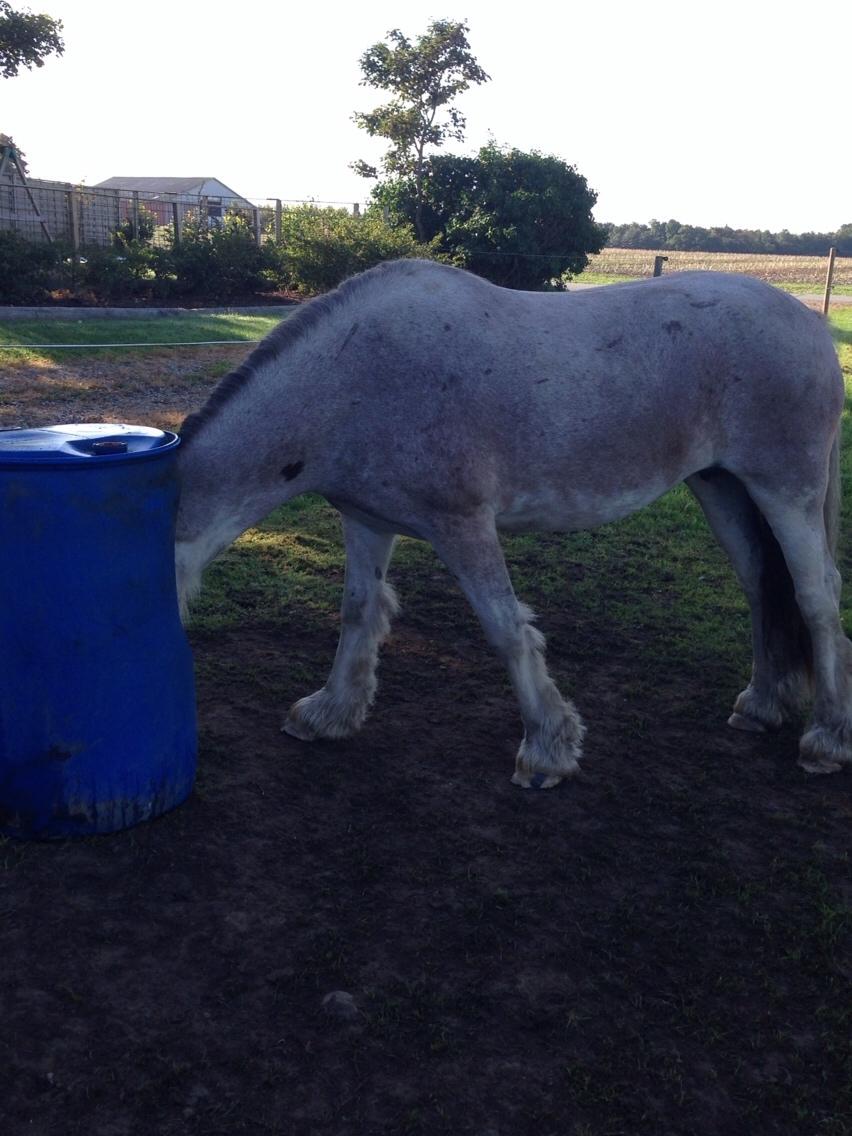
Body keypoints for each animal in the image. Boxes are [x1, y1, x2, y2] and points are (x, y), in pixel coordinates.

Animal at [177, 257, 849, 790]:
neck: (357, 377)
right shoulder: (367, 520)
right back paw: (761, 706)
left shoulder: (463, 524)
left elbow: (505, 628)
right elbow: (359, 613)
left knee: (817, 598)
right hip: (722, 489)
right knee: (763, 588)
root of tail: (812, 325)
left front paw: (547, 749)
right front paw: (329, 714)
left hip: (785, 490)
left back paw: (827, 739)